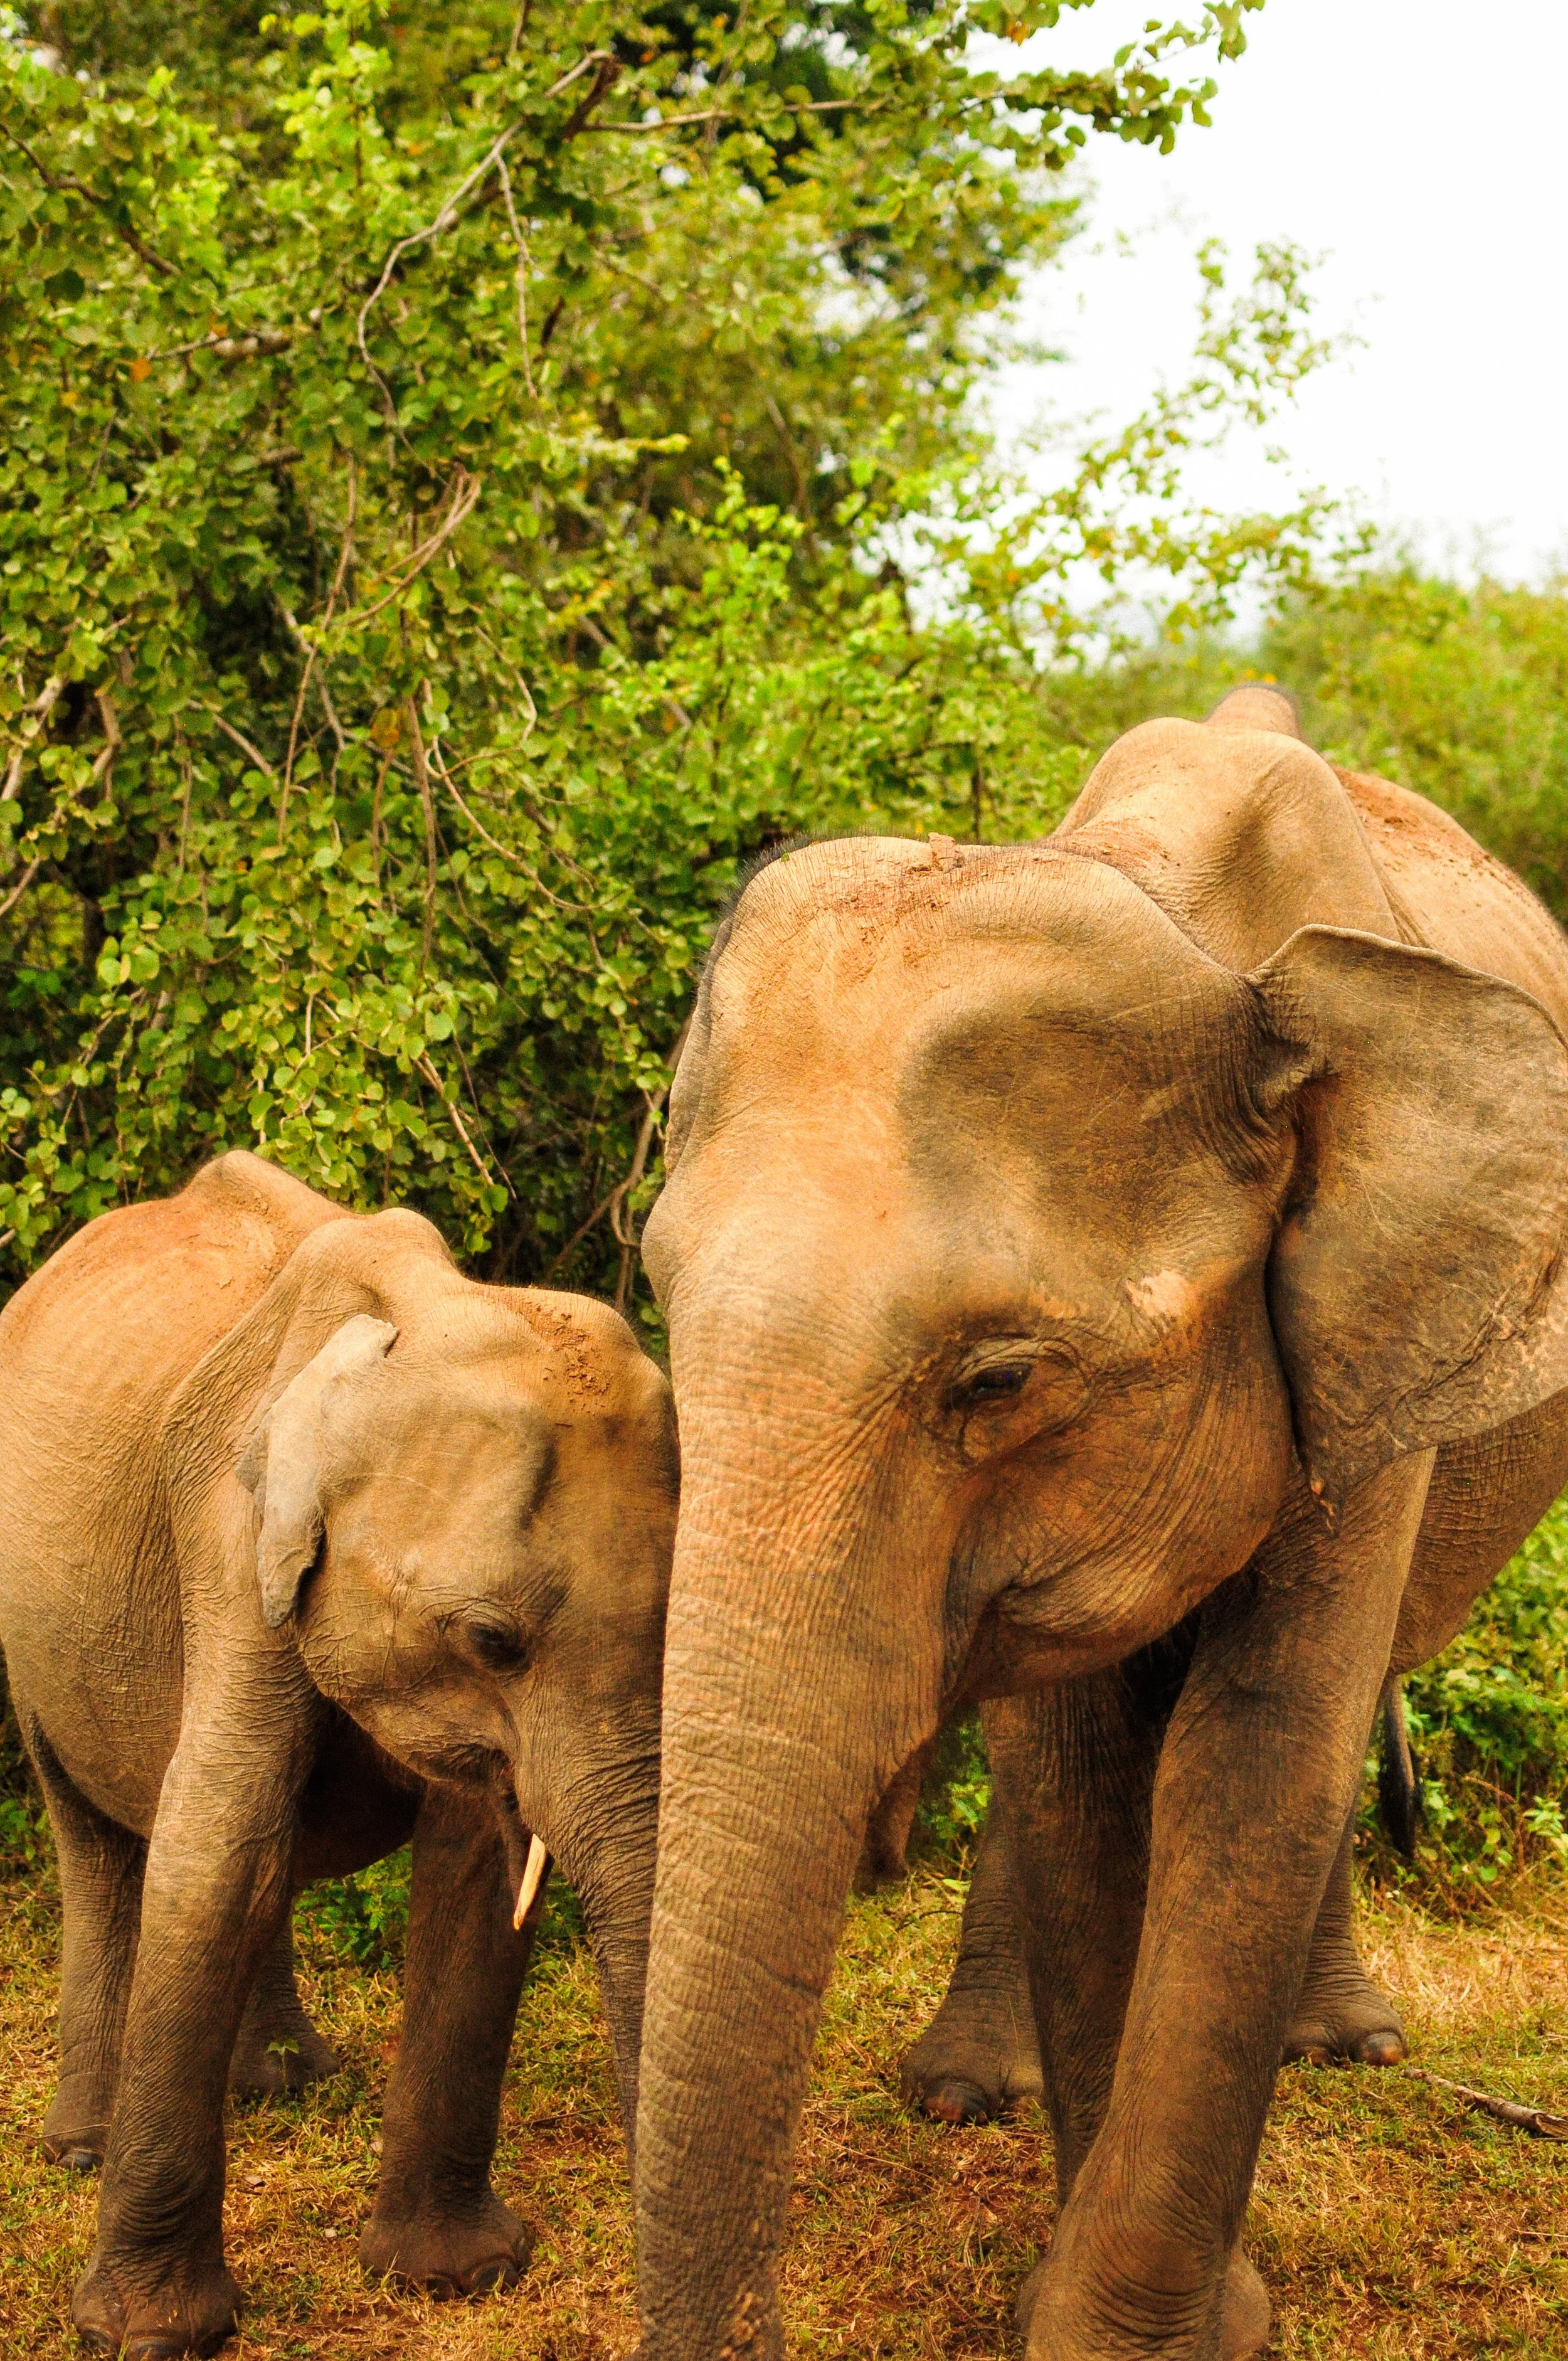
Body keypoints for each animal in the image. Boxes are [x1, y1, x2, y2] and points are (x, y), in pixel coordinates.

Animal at [0, 1150, 676, 2358]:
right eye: (492, 1640)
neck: (415, 1310)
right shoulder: (226, 1542)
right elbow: (219, 1847)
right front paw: (146, 2337)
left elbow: (472, 1873)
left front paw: (458, 2276)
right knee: (100, 1838)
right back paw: (82, 2147)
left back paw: (282, 2086)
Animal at [631, 684, 1568, 2361]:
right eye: (659, 1296)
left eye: (997, 1379)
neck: (1200, 945)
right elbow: (1076, 1772)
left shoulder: (1368, 1324)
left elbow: (1249, 1762)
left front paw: (1152, 2330)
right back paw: (961, 2091)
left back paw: (1348, 2047)